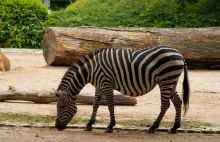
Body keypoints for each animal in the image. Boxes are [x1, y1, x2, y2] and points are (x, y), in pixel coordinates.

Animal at [54, 46, 189, 134]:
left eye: (61, 106)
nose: (57, 126)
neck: (91, 70)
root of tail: (179, 54)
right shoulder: (99, 85)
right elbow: (95, 103)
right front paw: (89, 124)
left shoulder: (106, 83)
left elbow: (110, 104)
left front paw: (110, 126)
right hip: (171, 81)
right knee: (178, 102)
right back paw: (174, 128)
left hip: (166, 80)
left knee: (165, 104)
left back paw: (153, 127)